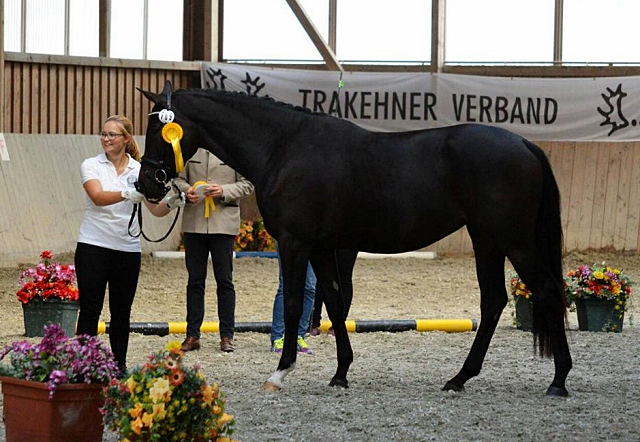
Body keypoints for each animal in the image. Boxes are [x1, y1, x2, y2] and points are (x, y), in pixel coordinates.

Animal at [138, 81, 572, 396]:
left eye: (159, 128)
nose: (146, 184)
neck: (284, 147)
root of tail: (524, 144)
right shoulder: (322, 246)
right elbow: (333, 302)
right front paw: (341, 372)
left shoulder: (295, 243)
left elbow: (295, 306)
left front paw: (280, 373)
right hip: (488, 241)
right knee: (494, 301)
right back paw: (459, 378)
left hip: (513, 241)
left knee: (546, 290)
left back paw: (558, 380)